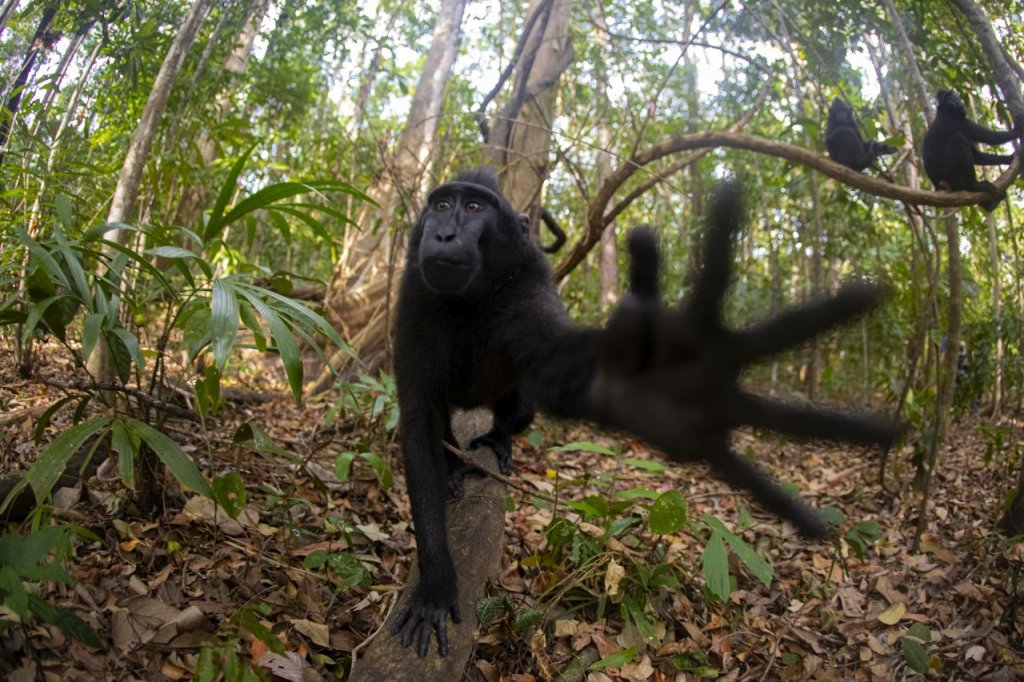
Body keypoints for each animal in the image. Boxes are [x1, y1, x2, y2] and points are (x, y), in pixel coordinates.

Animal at [389, 168, 897, 655]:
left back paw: (498, 438)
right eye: (441, 205)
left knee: (517, 409)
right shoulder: (413, 297)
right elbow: (418, 423)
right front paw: (436, 585)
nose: (443, 234)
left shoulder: (526, 291)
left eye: (474, 207)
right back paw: (454, 463)